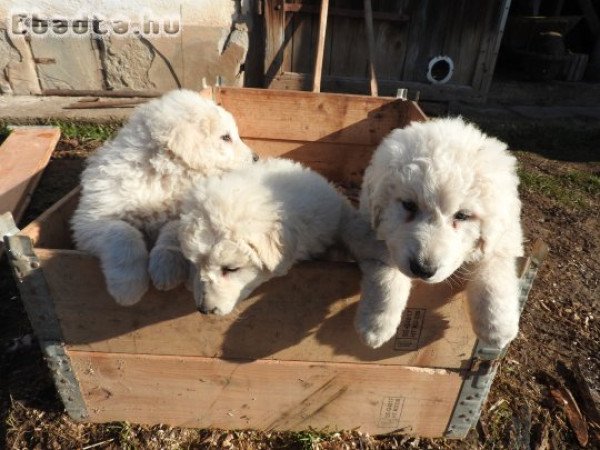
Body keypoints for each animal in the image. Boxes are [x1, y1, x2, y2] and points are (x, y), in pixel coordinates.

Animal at [71, 88, 256, 306]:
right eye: (225, 137)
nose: (256, 158)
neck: (162, 176)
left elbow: (172, 227)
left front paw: (165, 269)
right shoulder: (90, 221)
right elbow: (122, 232)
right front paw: (128, 287)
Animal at [358, 116, 524, 348]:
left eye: (462, 215)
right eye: (409, 205)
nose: (423, 269)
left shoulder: (501, 241)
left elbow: (495, 276)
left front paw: (498, 329)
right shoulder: (373, 239)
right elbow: (386, 277)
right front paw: (376, 326)